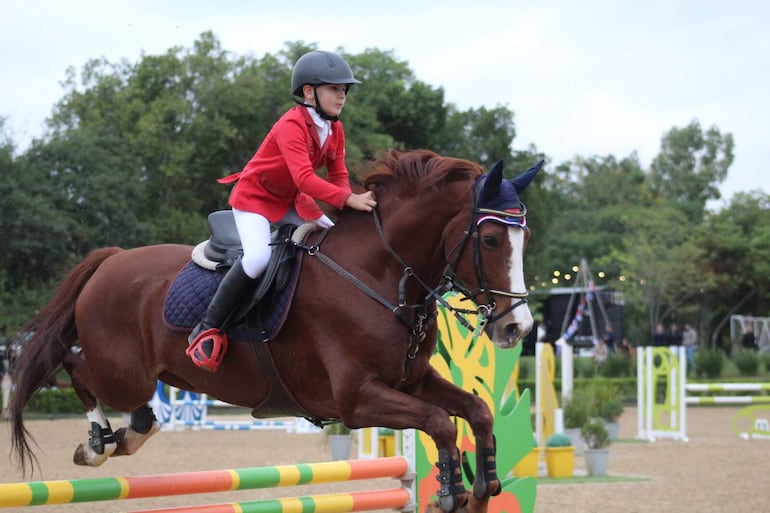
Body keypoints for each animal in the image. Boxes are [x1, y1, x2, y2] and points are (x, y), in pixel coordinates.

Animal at [9, 150, 536, 510]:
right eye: (491, 239)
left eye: (524, 237)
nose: (517, 327)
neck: (379, 273)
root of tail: (111, 260)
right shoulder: (357, 400)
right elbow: (439, 422)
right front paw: (451, 491)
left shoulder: (412, 381)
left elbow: (477, 411)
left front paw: (484, 486)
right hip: (122, 371)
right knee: (72, 365)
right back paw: (97, 443)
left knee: (127, 403)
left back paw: (131, 433)